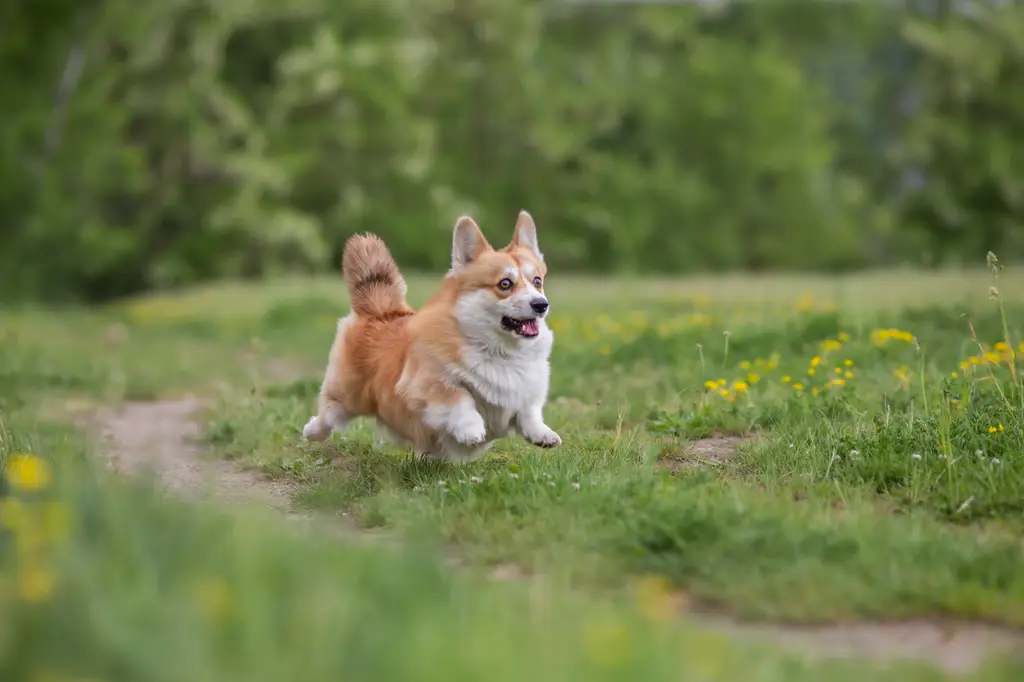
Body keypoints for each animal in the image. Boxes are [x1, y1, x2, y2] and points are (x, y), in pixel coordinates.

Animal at [299, 209, 565, 458]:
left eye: (538, 281)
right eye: (505, 284)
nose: (541, 304)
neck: (499, 349)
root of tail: (382, 311)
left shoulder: (526, 393)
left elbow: (528, 412)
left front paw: (542, 433)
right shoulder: (426, 385)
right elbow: (460, 397)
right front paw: (471, 429)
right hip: (348, 395)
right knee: (329, 414)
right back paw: (311, 431)